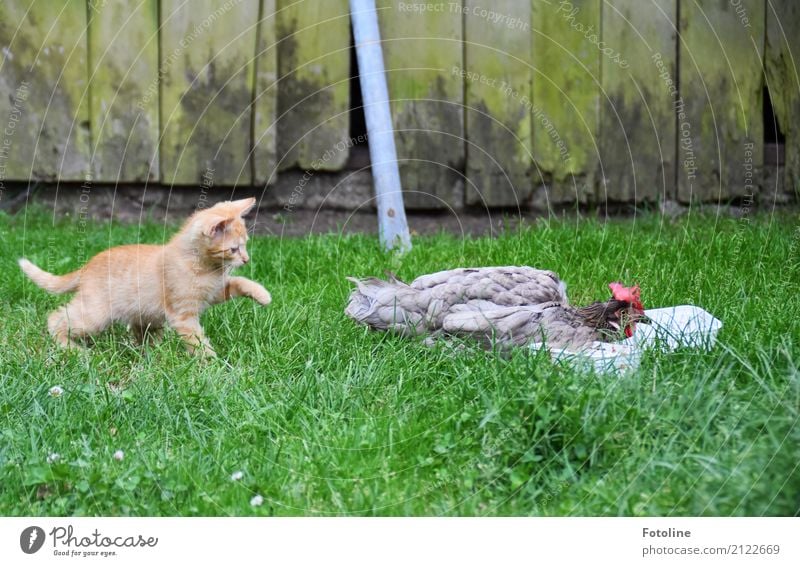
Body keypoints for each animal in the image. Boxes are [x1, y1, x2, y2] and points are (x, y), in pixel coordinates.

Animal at [17, 199, 268, 360]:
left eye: (245, 245)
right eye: (234, 249)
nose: (246, 259)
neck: (206, 268)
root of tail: (87, 265)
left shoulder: (215, 292)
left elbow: (238, 282)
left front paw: (263, 295)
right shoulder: (183, 315)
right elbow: (197, 341)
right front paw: (213, 364)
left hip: (145, 317)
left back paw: (148, 355)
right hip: (95, 314)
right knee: (57, 318)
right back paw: (72, 349)